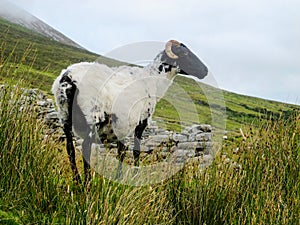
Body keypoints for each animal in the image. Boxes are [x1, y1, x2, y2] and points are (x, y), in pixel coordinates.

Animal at [52, 39, 209, 184]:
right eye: (185, 53)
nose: (205, 71)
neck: (153, 81)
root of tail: (68, 78)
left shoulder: (120, 126)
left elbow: (121, 151)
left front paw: (119, 178)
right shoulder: (141, 121)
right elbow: (135, 151)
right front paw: (133, 177)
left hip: (64, 116)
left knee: (70, 148)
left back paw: (77, 180)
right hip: (92, 116)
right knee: (86, 148)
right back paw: (87, 184)